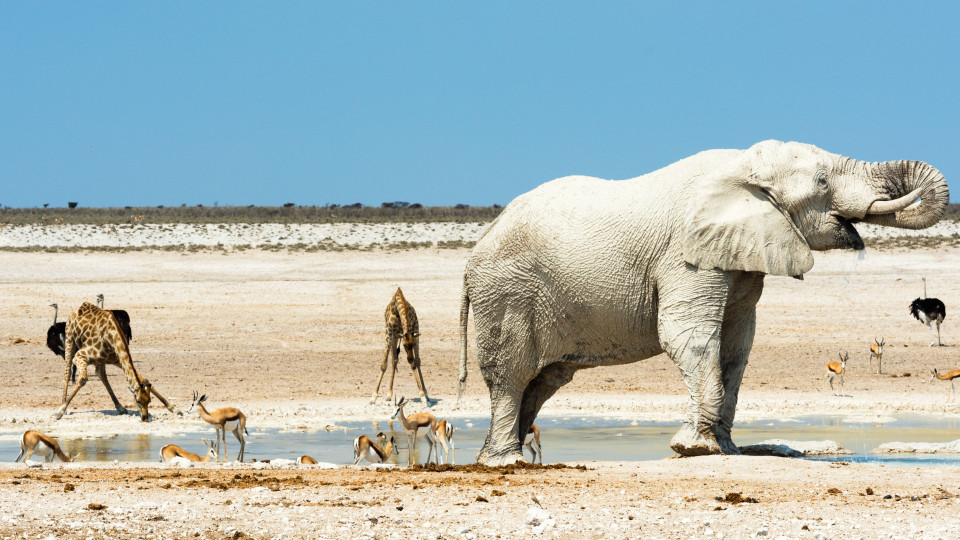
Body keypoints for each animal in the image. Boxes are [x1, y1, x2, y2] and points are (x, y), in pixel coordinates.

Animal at [456, 139, 944, 464]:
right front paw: (690, 447)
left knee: (544, 380)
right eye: (823, 181)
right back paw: (505, 462)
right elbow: (686, 336)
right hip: (507, 293)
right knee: (513, 374)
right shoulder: (686, 256)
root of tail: (475, 252)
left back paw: (493, 457)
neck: (741, 167)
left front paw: (724, 448)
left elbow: (737, 346)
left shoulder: (740, 257)